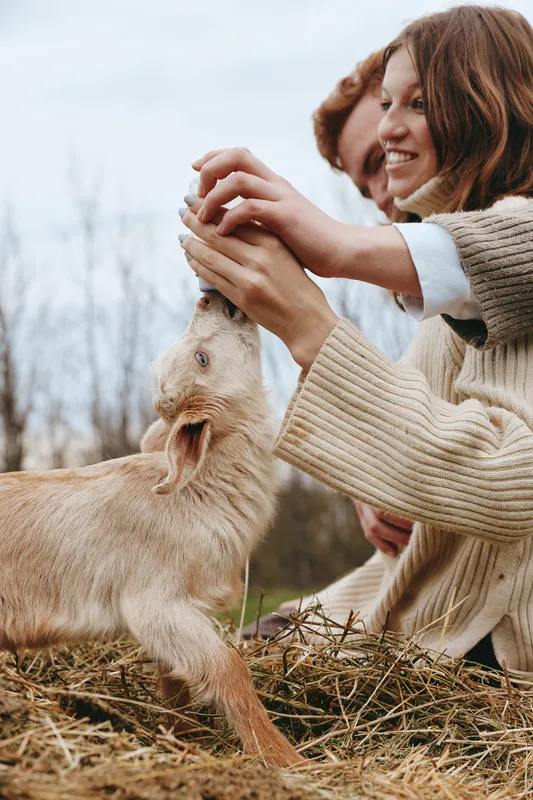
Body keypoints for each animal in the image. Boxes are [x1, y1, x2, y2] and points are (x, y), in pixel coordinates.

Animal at [0, 292, 300, 768]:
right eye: (202, 358)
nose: (210, 297)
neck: (197, 493)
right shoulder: (155, 603)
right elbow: (230, 669)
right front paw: (286, 758)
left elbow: (175, 682)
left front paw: (182, 737)